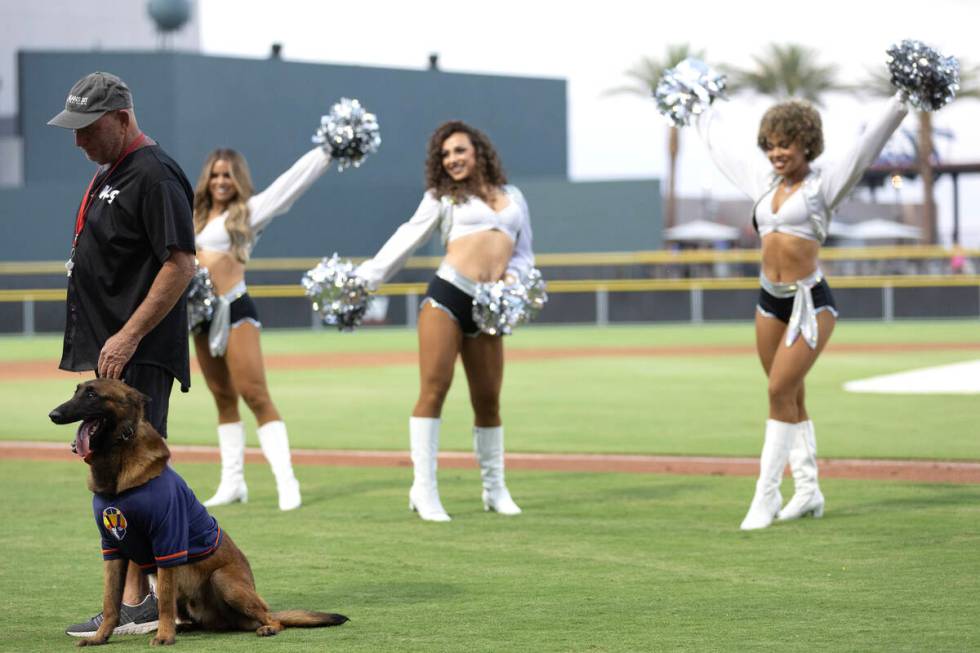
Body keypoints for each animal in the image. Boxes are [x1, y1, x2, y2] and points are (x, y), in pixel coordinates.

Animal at [50, 380, 348, 644]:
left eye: (92, 395)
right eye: (76, 391)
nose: (53, 415)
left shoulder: (167, 543)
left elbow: (163, 602)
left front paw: (164, 637)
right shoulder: (112, 548)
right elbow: (111, 601)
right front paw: (100, 637)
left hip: (223, 580)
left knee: (271, 619)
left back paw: (266, 627)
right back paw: (186, 627)